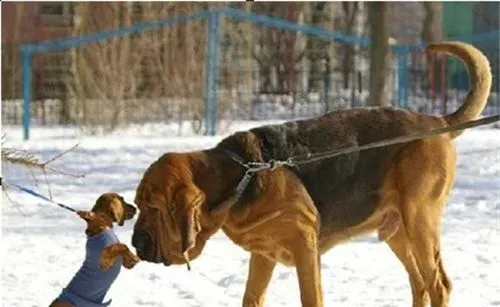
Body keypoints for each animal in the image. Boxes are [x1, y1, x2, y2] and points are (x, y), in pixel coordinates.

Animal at [130, 41, 492, 307]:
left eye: (153, 208)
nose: (134, 243)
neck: (240, 178)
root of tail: (435, 122)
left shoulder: (305, 246)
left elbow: (310, 297)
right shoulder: (263, 257)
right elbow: (252, 298)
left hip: (419, 220)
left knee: (438, 284)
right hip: (397, 231)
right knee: (419, 285)